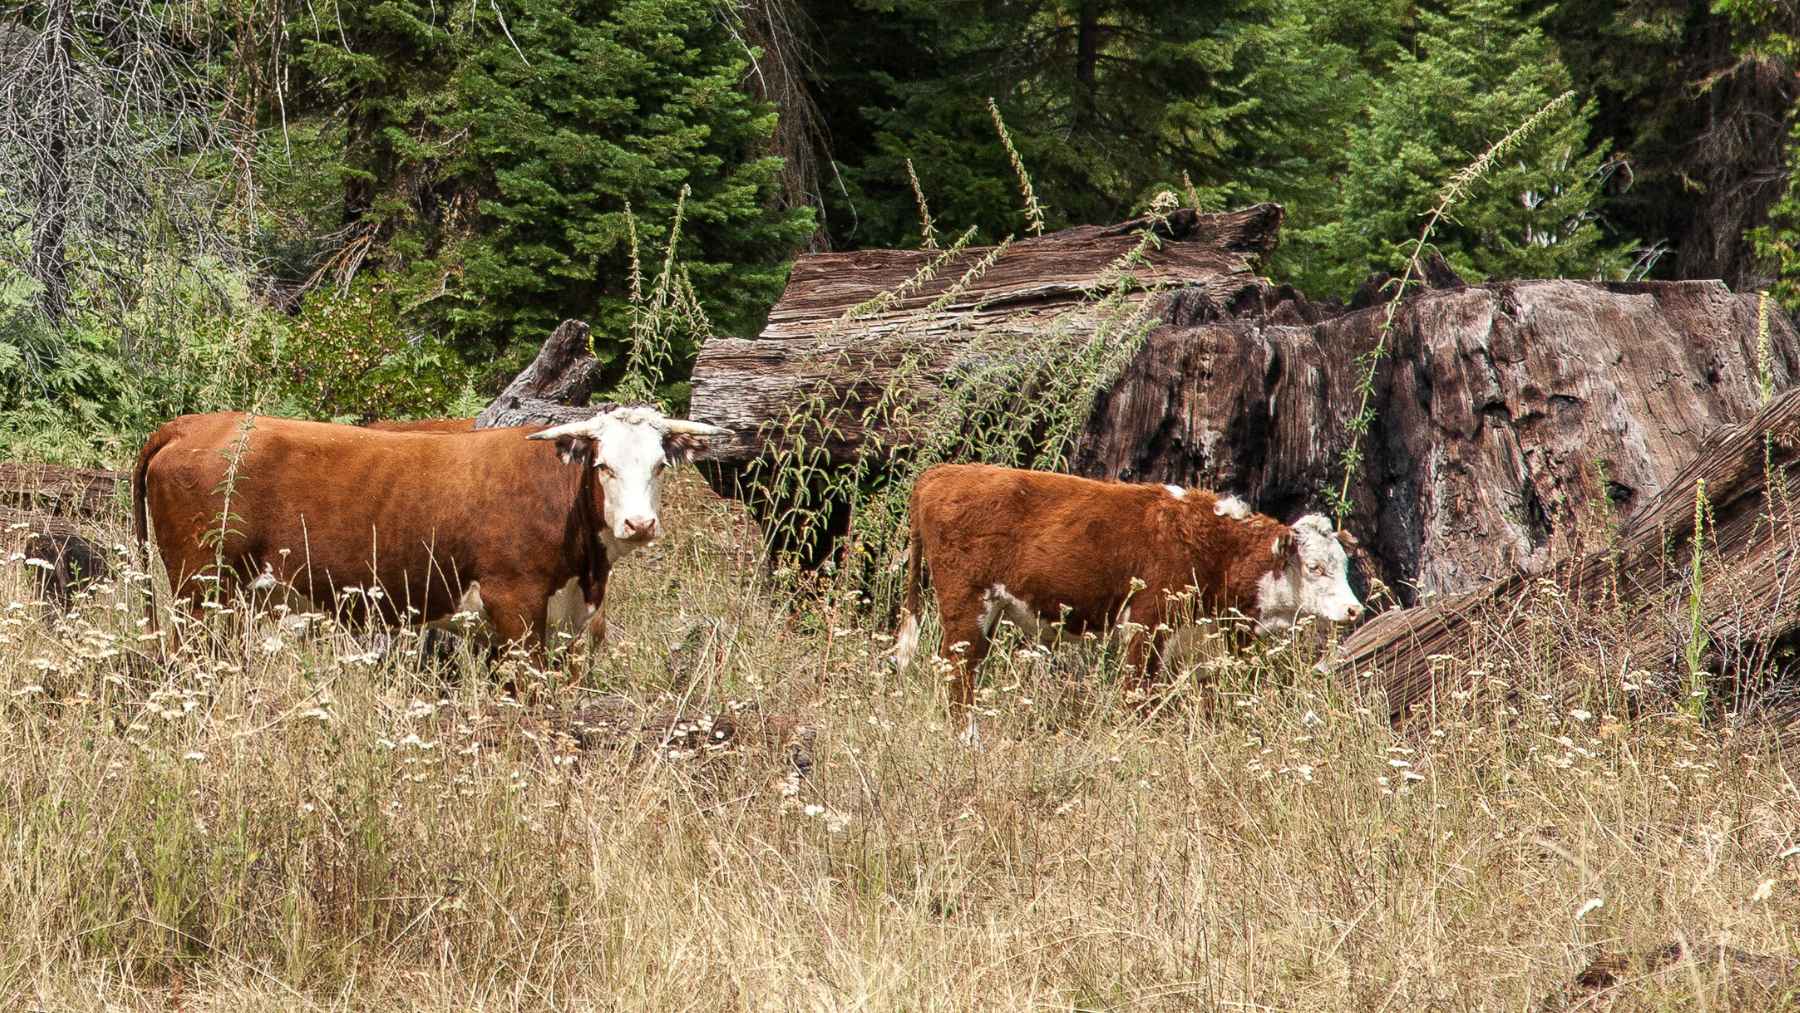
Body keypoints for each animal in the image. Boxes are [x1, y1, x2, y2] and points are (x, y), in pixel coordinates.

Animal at [131, 406, 727, 663]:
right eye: (603, 466)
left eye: (660, 466)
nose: (640, 524)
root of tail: (193, 423)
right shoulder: (514, 605)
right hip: (200, 590)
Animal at [891, 463, 1364, 741]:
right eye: (1315, 567)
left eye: (1342, 565)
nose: (1354, 609)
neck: (1214, 548)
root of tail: (941, 472)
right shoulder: (1146, 625)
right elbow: (1137, 692)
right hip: (966, 608)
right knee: (959, 674)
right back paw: (969, 739)